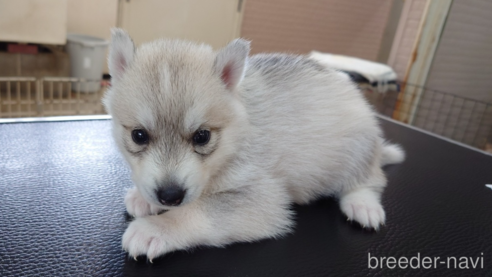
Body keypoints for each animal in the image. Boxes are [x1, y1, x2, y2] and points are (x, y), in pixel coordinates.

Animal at [103, 28, 404, 260]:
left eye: (202, 137)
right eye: (139, 136)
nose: (170, 195)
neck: (232, 144)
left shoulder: (263, 199)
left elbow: (196, 212)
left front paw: (154, 228)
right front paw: (142, 198)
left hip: (360, 146)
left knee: (369, 180)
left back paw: (363, 205)